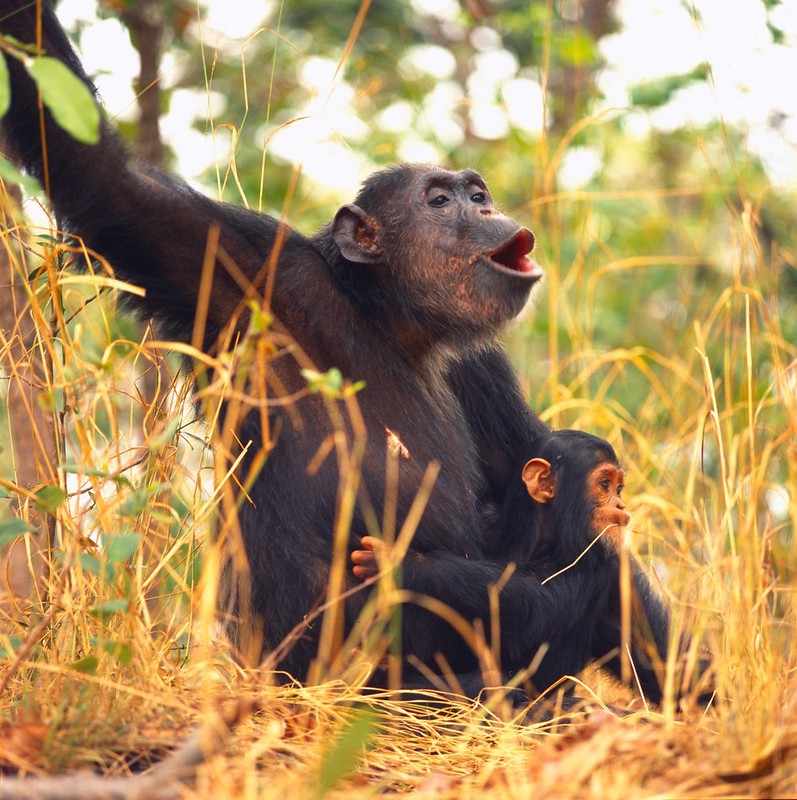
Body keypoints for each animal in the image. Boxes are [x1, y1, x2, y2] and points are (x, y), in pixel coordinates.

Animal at [354, 432, 708, 708]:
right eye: (605, 484)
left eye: (618, 489)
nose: (620, 505)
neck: (537, 539)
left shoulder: (598, 562)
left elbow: (533, 607)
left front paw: (403, 563)